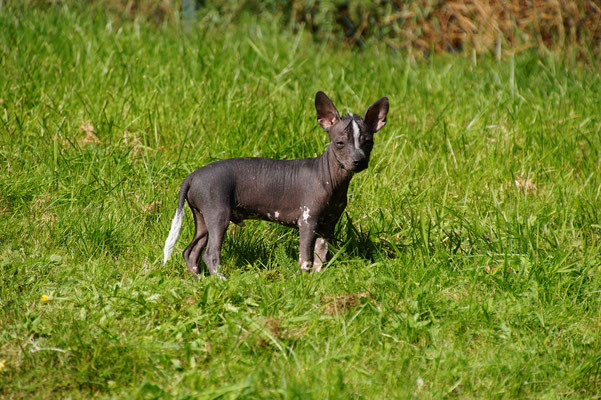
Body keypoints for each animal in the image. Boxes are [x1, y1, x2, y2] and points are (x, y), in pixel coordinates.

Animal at [164, 91, 390, 280]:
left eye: (368, 142)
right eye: (340, 143)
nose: (359, 161)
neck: (330, 179)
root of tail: (193, 175)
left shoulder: (327, 226)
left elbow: (320, 257)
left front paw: (317, 280)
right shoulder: (308, 222)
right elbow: (306, 259)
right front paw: (303, 281)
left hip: (203, 219)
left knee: (190, 252)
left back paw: (199, 281)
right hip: (218, 215)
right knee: (210, 254)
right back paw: (221, 281)